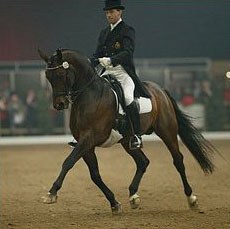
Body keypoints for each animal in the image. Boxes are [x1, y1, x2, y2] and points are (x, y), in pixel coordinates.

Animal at [38, 48, 217, 215]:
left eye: (61, 74)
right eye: (47, 76)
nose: (59, 104)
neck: (89, 95)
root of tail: (160, 89)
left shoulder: (89, 138)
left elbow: (68, 162)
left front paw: (51, 193)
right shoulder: (86, 144)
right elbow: (95, 175)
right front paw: (114, 203)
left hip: (167, 131)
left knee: (178, 160)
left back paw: (191, 199)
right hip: (127, 140)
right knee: (143, 162)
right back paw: (133, 196)